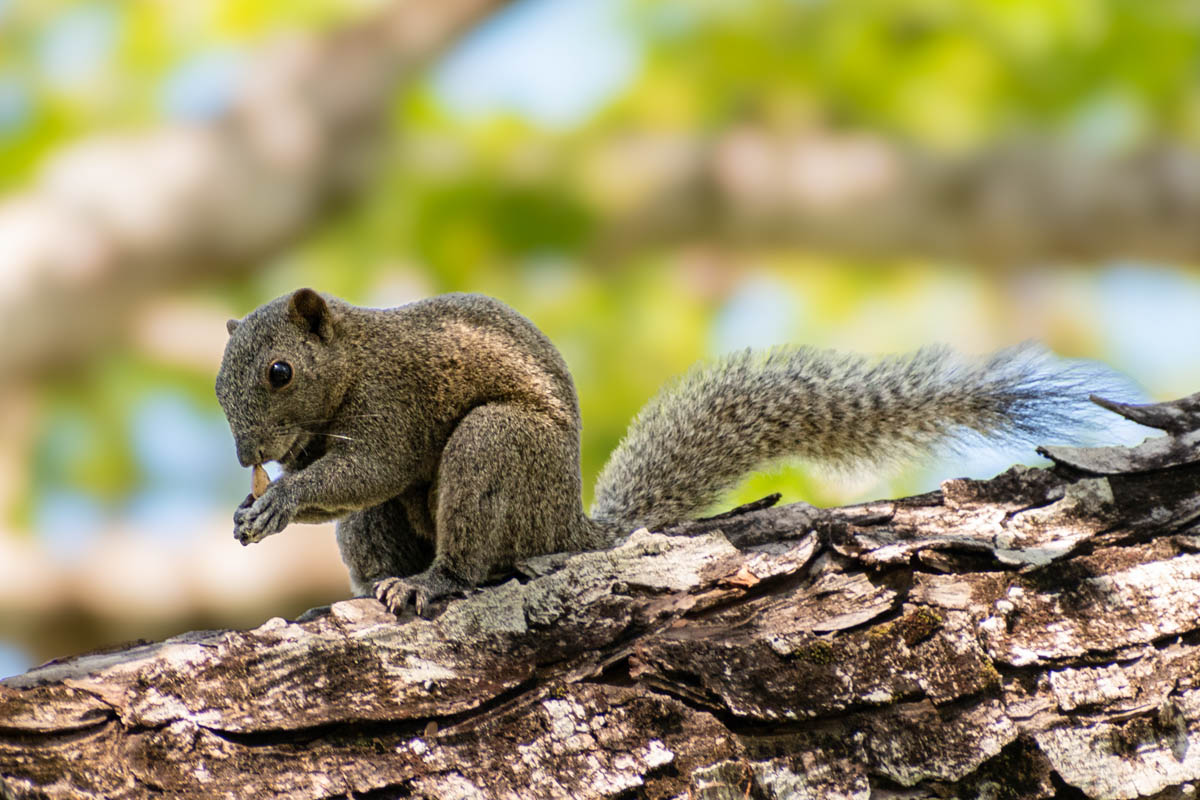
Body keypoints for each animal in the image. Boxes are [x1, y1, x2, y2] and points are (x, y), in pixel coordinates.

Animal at [216, 289, 1113, 618]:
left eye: (279, 371)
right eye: (220, 381)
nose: (245, 454)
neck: (353, 358)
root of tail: (569, 528)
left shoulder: (395, 404)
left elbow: (369, 468)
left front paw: (278, 500)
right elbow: (339, 483)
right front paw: (255, 506)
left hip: (497, 448)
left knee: (470, 555)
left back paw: (433, 584)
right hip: (389, 524)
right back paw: (372, 592)